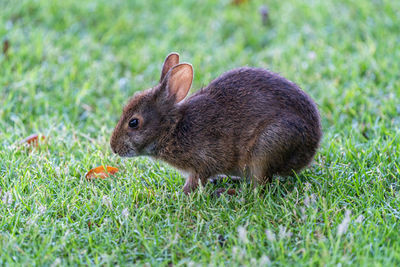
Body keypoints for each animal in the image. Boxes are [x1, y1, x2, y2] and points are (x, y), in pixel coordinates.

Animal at [110, 52, 322, 195]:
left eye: (134, 122)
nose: (114, 148)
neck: (172, 128)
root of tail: (310, 148)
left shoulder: (203, 163)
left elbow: (195, 181)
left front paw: (179, 195)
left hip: (267, 147)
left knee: (259, 186)